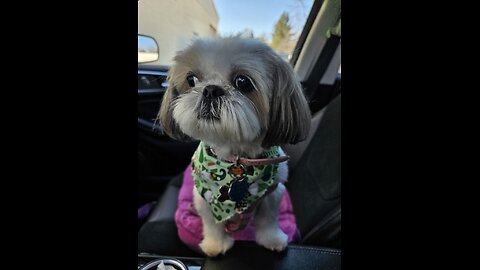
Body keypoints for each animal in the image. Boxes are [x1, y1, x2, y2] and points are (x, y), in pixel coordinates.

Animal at [158, 37, 312, 256]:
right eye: (192, 80)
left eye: (243, 81)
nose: (210, 89)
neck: (235, 158)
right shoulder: (204, 197)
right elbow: (211, 223)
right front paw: (216, 244)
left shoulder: (273, 191)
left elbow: (268, 219)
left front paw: (271, 239)